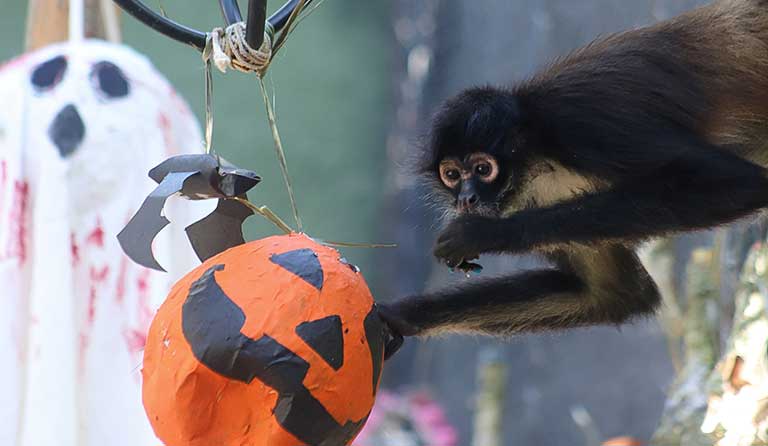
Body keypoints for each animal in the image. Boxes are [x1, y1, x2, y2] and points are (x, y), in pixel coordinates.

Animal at [377, 0, 768, 339]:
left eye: (483, 169)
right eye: (452, 175)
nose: (467, 198)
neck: (538, 152)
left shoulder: (578, 124)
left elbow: (741, 184)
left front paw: (486, 233)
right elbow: (611, 295)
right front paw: (396, 318)